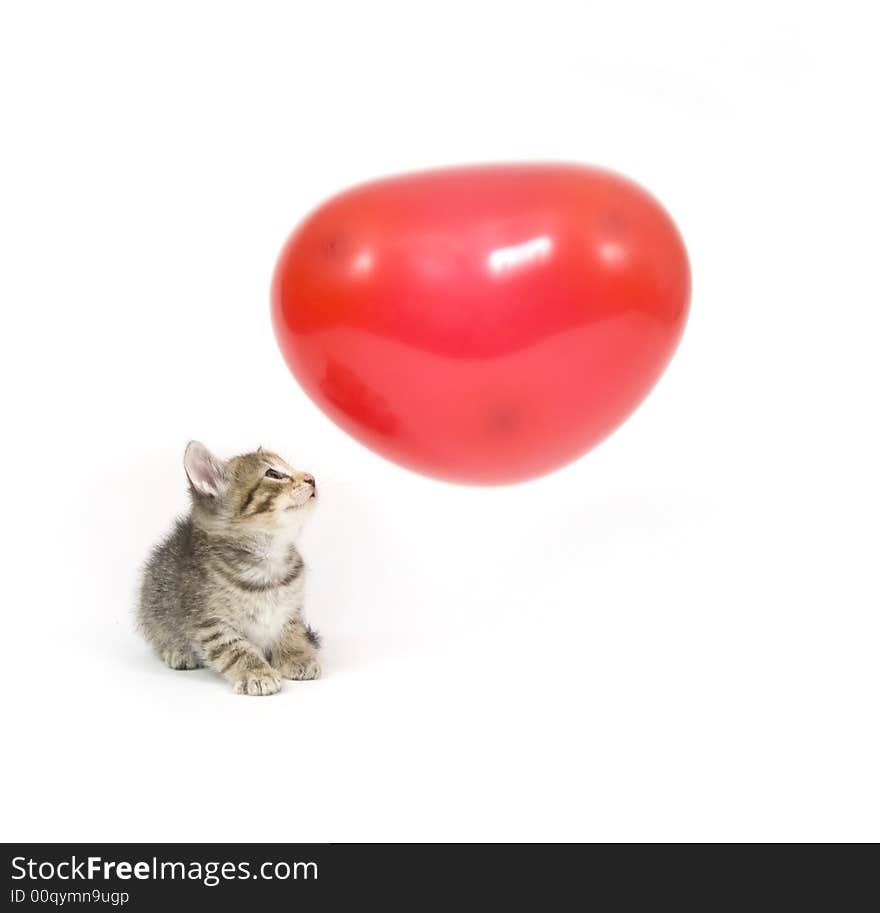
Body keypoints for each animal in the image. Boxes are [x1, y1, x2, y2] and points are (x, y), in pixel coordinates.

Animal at [135, 440, 320, 692]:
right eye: (273, 474)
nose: (311, 478)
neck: (269, 559)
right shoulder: (209, 622)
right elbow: (234, 649)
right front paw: (257, 672)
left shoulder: (291, 607)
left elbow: (292, 630)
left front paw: (297, 656)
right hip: (152, 606)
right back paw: (177, 650)